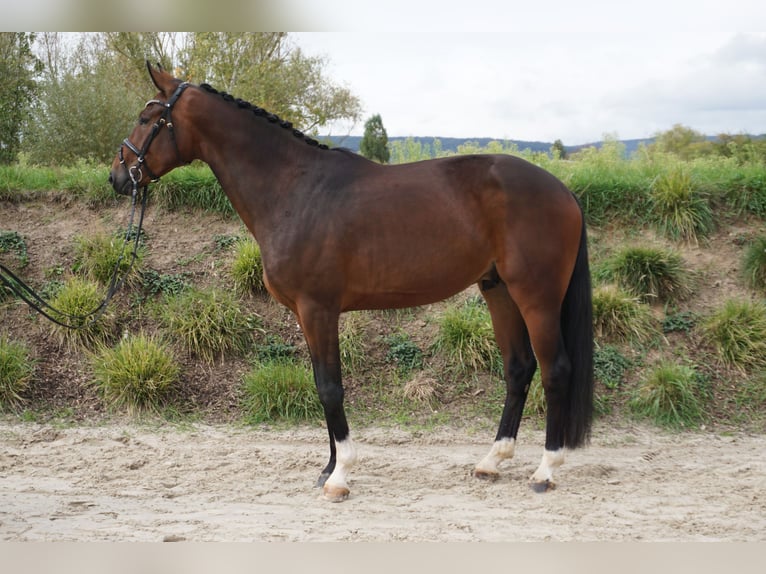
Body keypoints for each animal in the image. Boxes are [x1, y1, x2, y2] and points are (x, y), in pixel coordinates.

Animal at [111, 64, 596, 504]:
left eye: (146, 117)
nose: (118, 176)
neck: (295, 191)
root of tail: (563, 191)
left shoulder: (318, 309)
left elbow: (331, 388)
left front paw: (340, 476)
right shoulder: (307, 315)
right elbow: (321, 384)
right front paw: (327, 468)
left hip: (536, 296)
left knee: (555, 370)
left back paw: (545, 471)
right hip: (498, 291)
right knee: (519, 369)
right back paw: (491, 462)